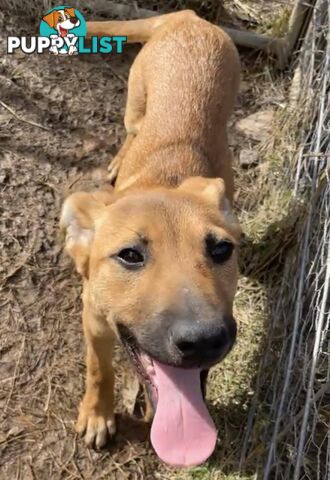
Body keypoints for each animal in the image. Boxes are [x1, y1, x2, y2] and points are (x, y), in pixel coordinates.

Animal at [60, 10, 240, 468]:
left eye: (221, 249)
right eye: (129, 255)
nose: (204, 341)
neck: (165, 180)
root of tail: (189, 16)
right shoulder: (93, 319)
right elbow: (99, 369)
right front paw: (97, 415)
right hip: (135, 100)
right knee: (133, 130)